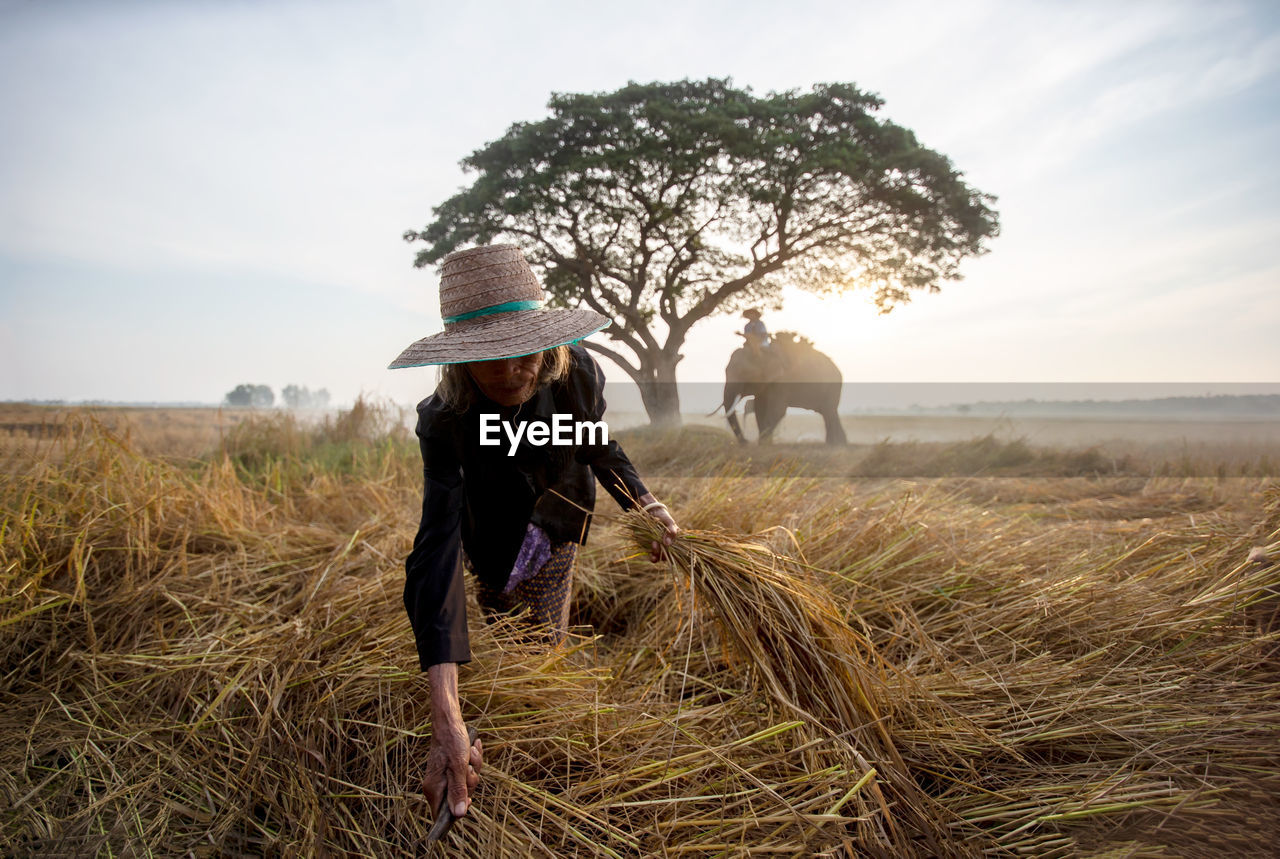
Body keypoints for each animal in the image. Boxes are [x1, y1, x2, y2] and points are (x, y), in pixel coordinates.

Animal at [721, 332, 849, 448]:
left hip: (833, 386)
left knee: (829, 411)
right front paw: (764, 442)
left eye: (745, 373)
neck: (763, 352)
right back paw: (838, 443)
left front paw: (763, 443)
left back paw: (835, 445)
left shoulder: (783, 381)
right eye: (725, 371)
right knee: (828, 412)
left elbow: (778, 410)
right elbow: (759, 408)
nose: (746, 441)